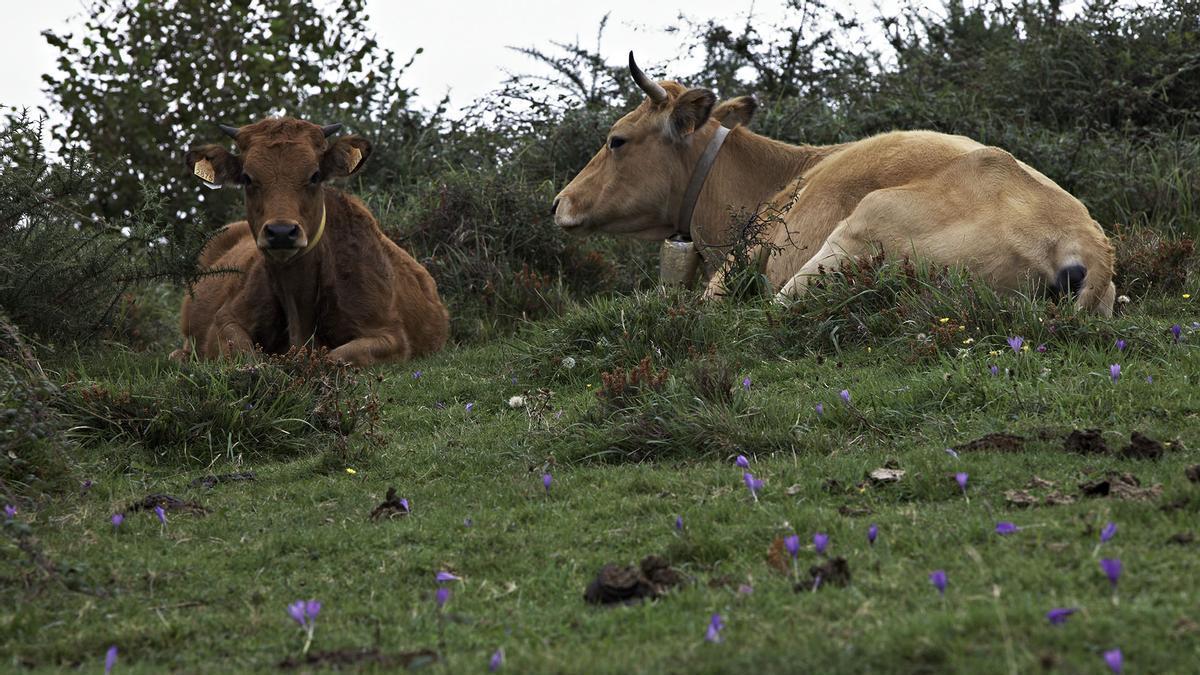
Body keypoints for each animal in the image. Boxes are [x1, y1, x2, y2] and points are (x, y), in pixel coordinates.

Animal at [172, 118, 448, 366]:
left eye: (315, 176)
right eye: (248, 178)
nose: (281, 231)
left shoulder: (391, 334)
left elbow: (333, 358)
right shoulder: (224, 318)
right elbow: (246, 355)